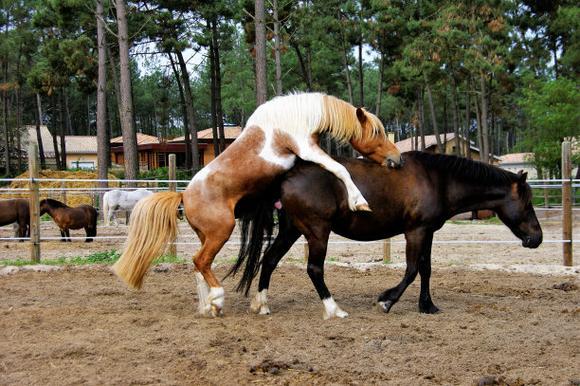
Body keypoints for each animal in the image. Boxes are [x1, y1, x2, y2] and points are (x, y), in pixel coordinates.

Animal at [114, 92, 404, 316]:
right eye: (376, 132)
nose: (397, 159)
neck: (294, 117)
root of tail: (184, 196)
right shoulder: (307, 149)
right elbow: (340, 168)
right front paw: (360, 202)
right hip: (221, 232)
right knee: (200, 261)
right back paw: (217, 298)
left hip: (206, 236)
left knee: (199, 266)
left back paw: (210, 306)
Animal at [228, 152, 544, 320]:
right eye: (528, 203)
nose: (537, 238)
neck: (438, 180)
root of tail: (288, 176)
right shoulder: (415, 232)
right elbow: (412, 270)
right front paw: (386, 300)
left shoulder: (428, 232)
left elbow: (426, 269)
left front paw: (427, 305)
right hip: (317, 232)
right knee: (314, 268)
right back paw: (333, 309)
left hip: (292, 230)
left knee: (269, 260)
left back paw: (262, 304)